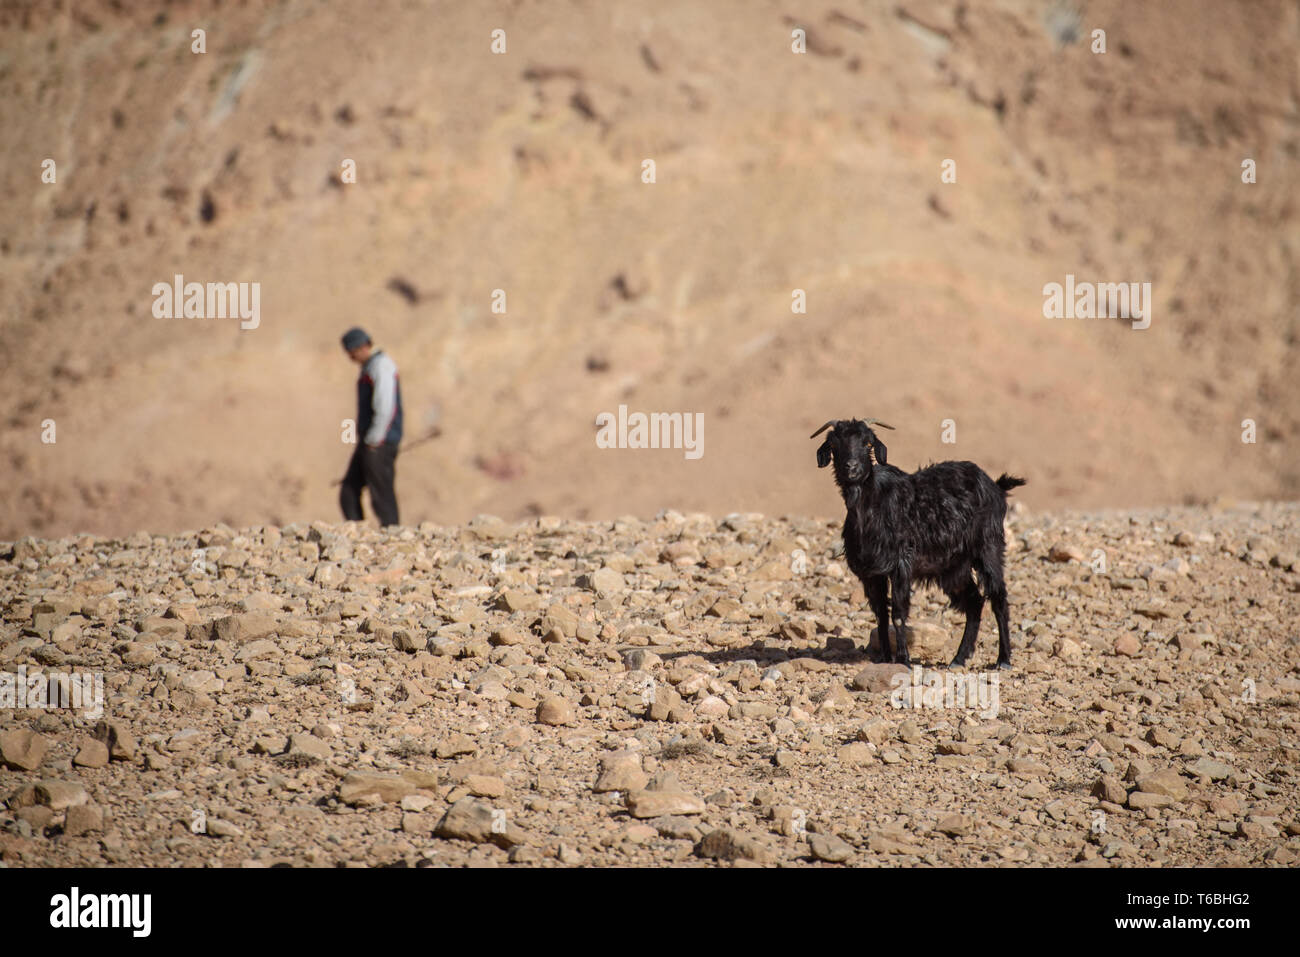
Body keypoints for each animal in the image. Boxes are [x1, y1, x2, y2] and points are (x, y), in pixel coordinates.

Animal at [811, 418, 1024, 670]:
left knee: (998, 598)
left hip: (988, 546)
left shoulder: (901, 564)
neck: (870, 508)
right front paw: (885, 658)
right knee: (974, 601)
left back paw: (1003, 659)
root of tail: (996, 486)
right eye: (834, 445)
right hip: (953, 567)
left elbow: (898, 613)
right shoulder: (871, 573)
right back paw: (958, 658)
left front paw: (903, 660)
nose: (851, 467)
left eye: (867, 443)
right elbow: (881, 614)